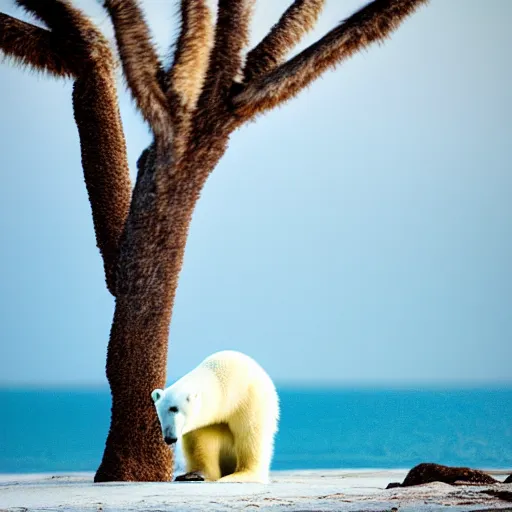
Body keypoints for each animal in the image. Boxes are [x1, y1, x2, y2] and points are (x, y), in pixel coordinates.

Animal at [152, 350, 280, 482]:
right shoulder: (207, 423)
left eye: (174, 409)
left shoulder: (249, 400)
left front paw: (240, 474)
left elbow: (250, 435)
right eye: (159, 414)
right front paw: (194, 474)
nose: (169, 438)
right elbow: (202, 444)